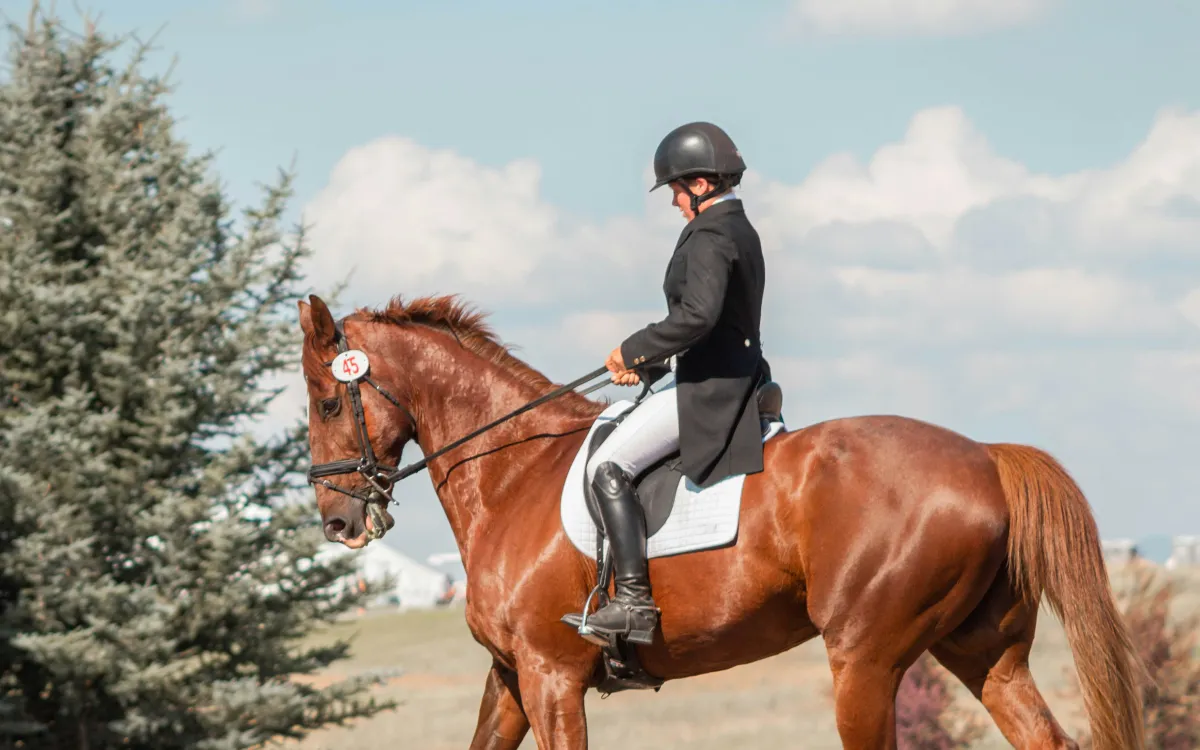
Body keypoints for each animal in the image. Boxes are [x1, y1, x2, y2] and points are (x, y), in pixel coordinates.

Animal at [297, 292, 1146, 750]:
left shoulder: (550, 675)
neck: (513, 472)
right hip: (983, 652)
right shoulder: (511, 676)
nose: (338, 522)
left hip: (865, 659)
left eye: (329, 402)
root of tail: (984, 456)